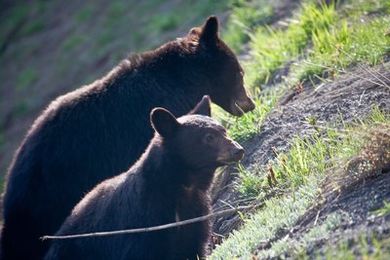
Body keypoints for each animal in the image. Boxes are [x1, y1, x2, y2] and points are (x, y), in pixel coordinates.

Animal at [43, 96, 244, 260]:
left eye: (224, 130)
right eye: (208, 137)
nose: (238, 150)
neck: (179, 188)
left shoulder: (196, 215)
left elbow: (194, 247)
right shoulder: (140, 222)